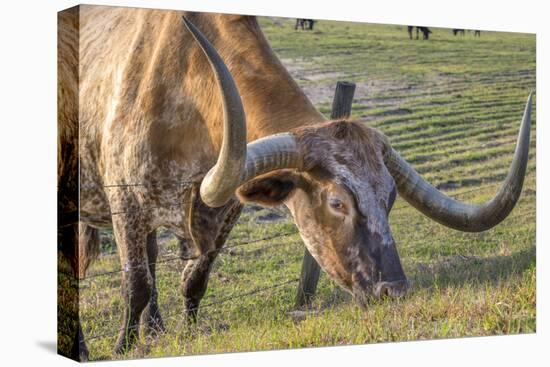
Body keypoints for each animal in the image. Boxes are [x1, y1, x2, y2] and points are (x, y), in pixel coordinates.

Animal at [59, 5, 536, 360]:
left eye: (390, 198)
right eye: (337, 202)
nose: (394, 292)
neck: (189, 85)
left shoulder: (224, 212)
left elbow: (193, 281)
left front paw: (185, 337)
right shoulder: (127, 205)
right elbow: (135, 285)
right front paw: (122, 348)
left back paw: (154, 331)